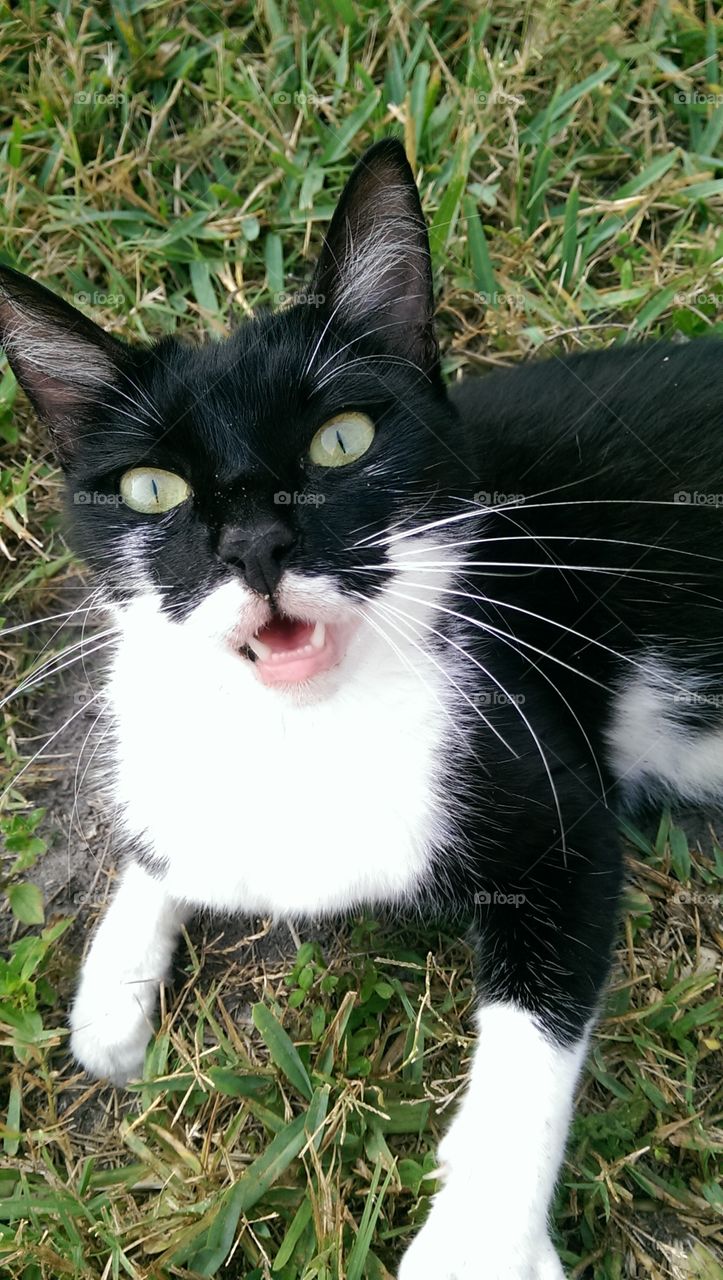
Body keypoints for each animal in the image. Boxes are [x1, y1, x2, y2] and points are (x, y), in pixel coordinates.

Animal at [1, 135, 721, 1274]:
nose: (255, 545)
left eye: (340, 440)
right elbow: (166, 832)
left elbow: (533, 1033)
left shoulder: (550, 804)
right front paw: (113, 991)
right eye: (153, 489)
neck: (300, 727)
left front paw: (480, 1242)